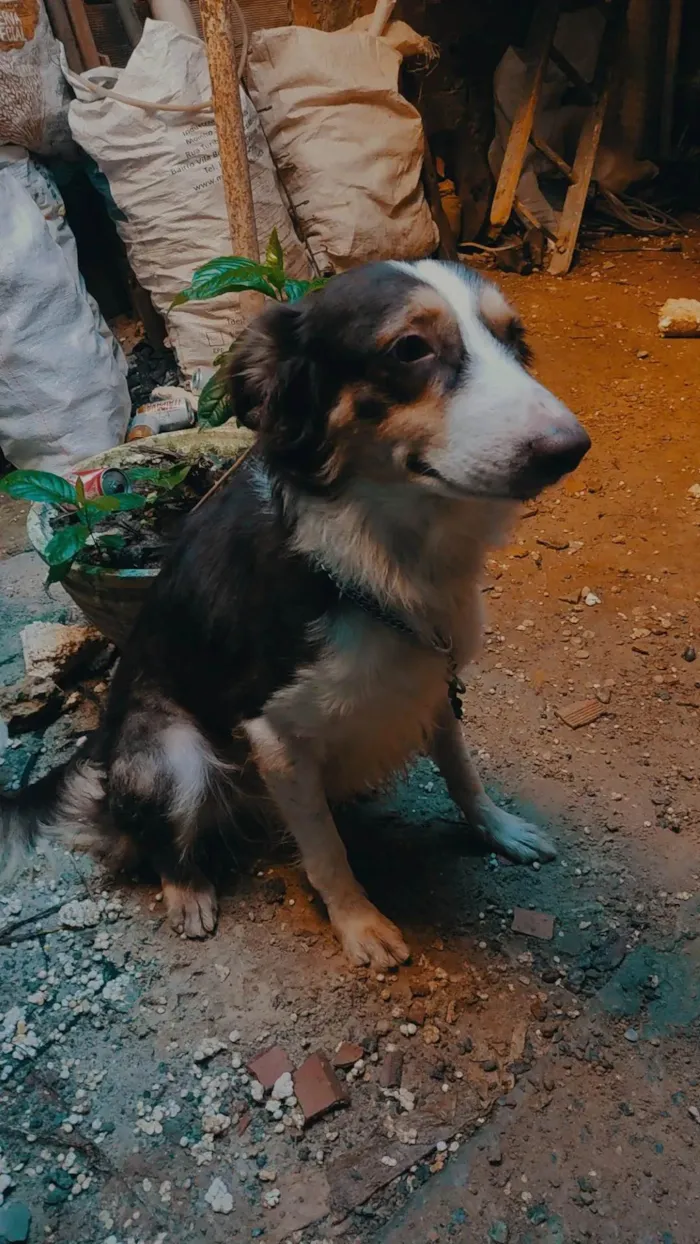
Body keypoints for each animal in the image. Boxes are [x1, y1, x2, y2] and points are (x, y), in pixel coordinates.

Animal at [0, 257, 589, 965]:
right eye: (409, 348)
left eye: (513, 338)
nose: (571, 449)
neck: (379, 549)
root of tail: (101, 754)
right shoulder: (274, 735)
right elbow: (327, 852)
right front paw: (360, 924)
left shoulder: (432, 677)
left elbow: (461, 769)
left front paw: (496, 827)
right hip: (175, 753)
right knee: (156, 841)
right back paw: (187, 892)